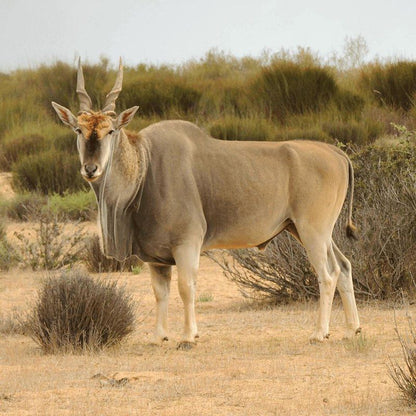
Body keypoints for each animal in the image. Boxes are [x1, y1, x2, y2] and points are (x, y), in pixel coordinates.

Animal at [50, 59, 360, 348]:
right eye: (78, 130)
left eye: (111, 131)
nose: (90, 169)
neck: (145, 165)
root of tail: (336, 153)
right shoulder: (156, 257)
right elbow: (160, 292)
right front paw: (158, 336)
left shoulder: (187, 242)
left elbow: (186, 287)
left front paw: (188, 336)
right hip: (306, 230)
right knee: (344, 266)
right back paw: (352, 329)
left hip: (312, 231)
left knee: (328, 274)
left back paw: (320, 333)